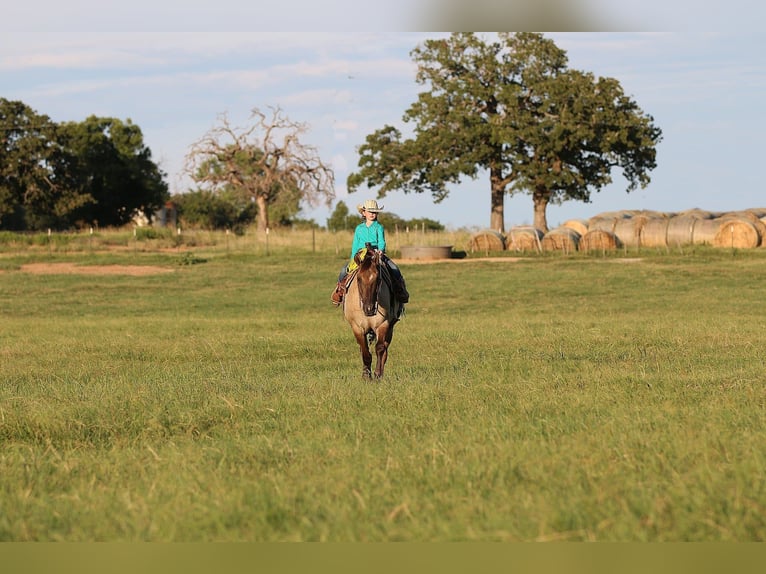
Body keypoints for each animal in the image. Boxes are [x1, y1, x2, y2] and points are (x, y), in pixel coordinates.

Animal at [342, 246, 404, 379]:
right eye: (359, 279)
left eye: (378, 279)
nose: (369, 308)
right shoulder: (357, 328)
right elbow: (365, 352)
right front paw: (366, 375)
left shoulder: (383, 324)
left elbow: (380, 349)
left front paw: (377, 375)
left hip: (390, 328)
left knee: (385, 349)